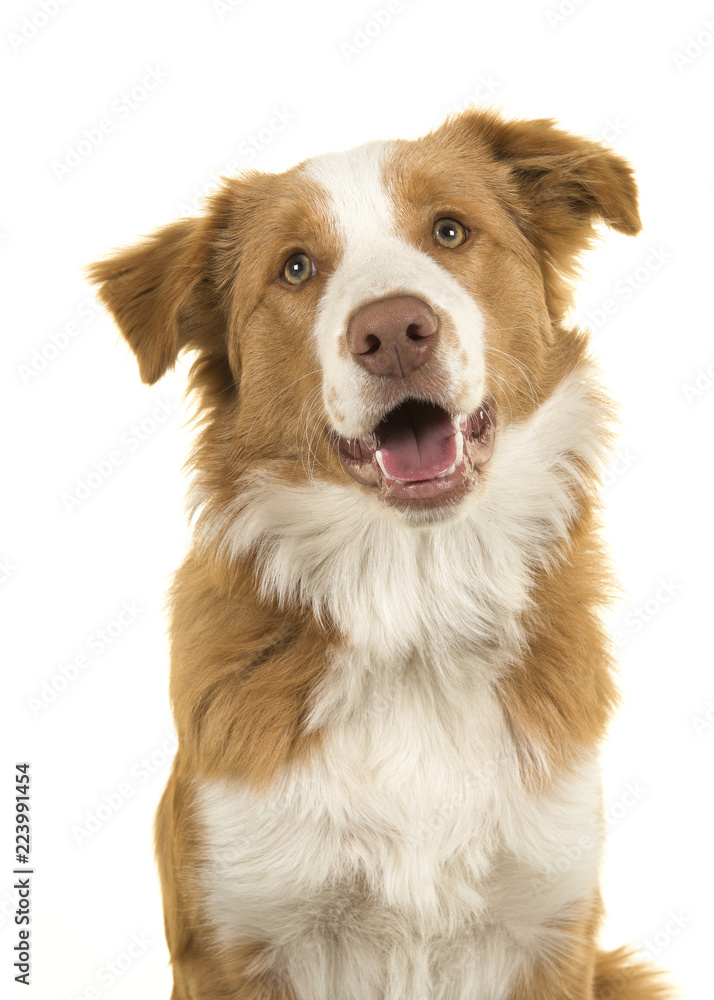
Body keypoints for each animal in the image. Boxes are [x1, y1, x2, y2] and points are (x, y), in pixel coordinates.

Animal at [90, 109, 668, 1000]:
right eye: (296, 268)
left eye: (451, 230)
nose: (393, 330)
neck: (415, 606)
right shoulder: (232, 933)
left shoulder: (551, 924)